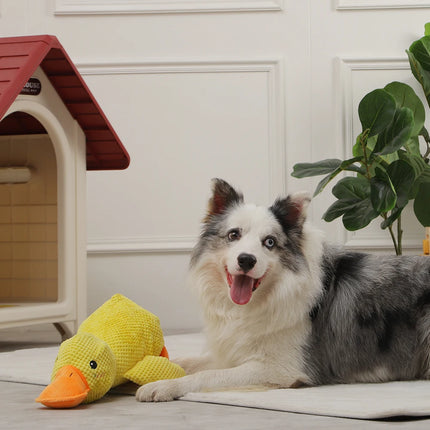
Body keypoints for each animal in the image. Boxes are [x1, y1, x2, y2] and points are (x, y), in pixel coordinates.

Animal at [136, 176, 430, 402]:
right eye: (233, 234)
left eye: (269, 242)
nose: (246, 260)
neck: (262, 299)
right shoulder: (235, 351)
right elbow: (187, 362)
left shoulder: (281, 368)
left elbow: (208, 375)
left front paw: (163, 386)